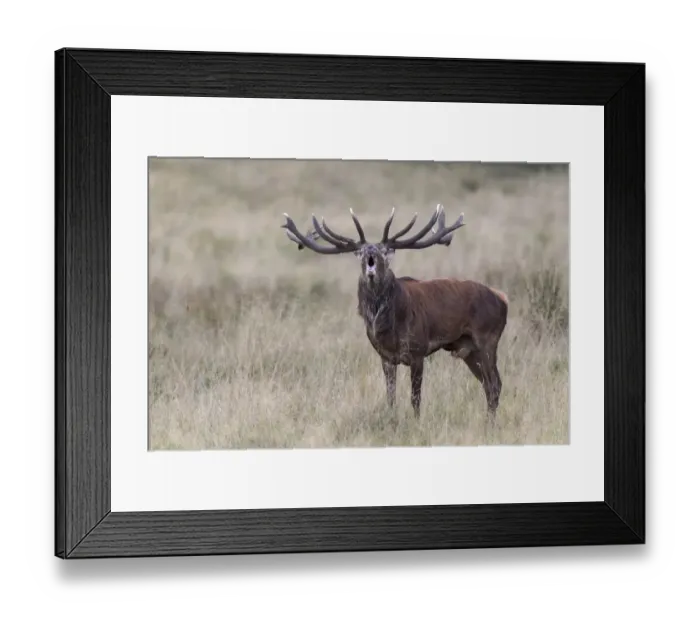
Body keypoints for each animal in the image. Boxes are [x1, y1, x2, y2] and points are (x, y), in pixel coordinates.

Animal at [281, 204, 508, 420]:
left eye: (384, 251)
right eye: (361, 252)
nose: (371, 251)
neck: (389, 325)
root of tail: (502, 299)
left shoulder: (418, 351)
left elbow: (415, 399)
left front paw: (416, 423)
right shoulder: (386, 357)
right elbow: (390, 397)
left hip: (487, 340)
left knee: (495, 384)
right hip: (468, 349)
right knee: (487, 385)